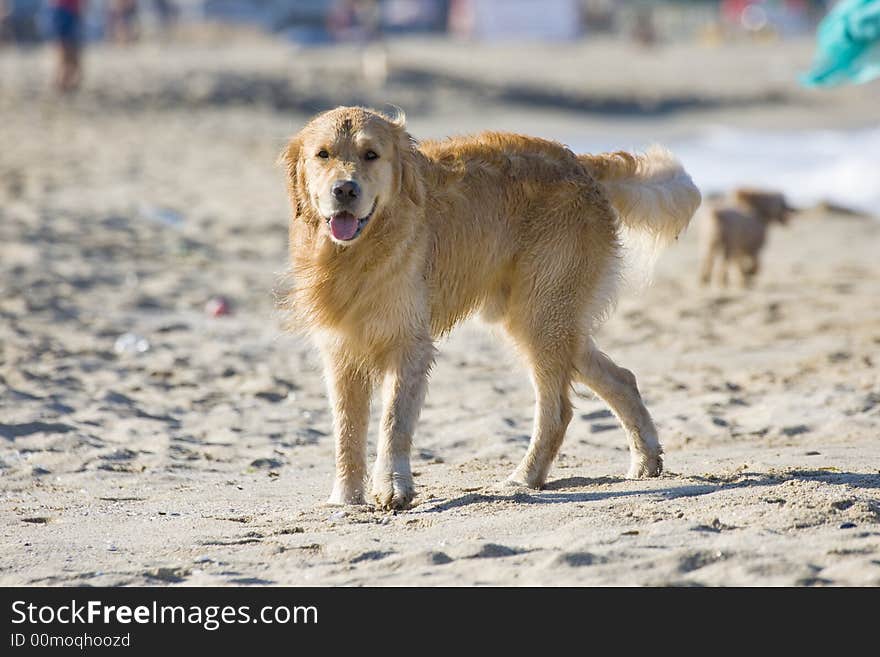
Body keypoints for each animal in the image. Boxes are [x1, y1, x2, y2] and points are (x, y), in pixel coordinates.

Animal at [276, 106, 700, 508]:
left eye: (371, 155)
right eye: (323, 154)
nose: (345, 190)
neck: (356, 253)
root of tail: (579, 162)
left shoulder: (408, 345)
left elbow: (392, 423)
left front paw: (393, 488)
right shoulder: (340, 350)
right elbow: (346, 432)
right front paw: (346, 500)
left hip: (541, 316)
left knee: (558, 410)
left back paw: (524, 478)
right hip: (546, 319)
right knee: (621, 377)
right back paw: (646, 460)